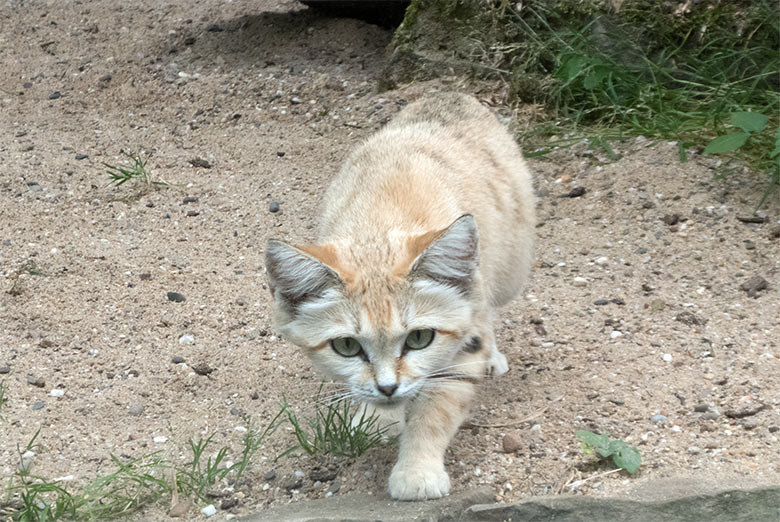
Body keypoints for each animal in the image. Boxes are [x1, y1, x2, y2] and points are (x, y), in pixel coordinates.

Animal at [266, 93, 532, 500]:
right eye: (346, 346)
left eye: (420, 338)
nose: (388, 387)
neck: (382, 223)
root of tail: (451, 93)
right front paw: (376, 418)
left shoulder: (463, 346)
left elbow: (435, 411)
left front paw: (417, 472)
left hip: (509, 271)